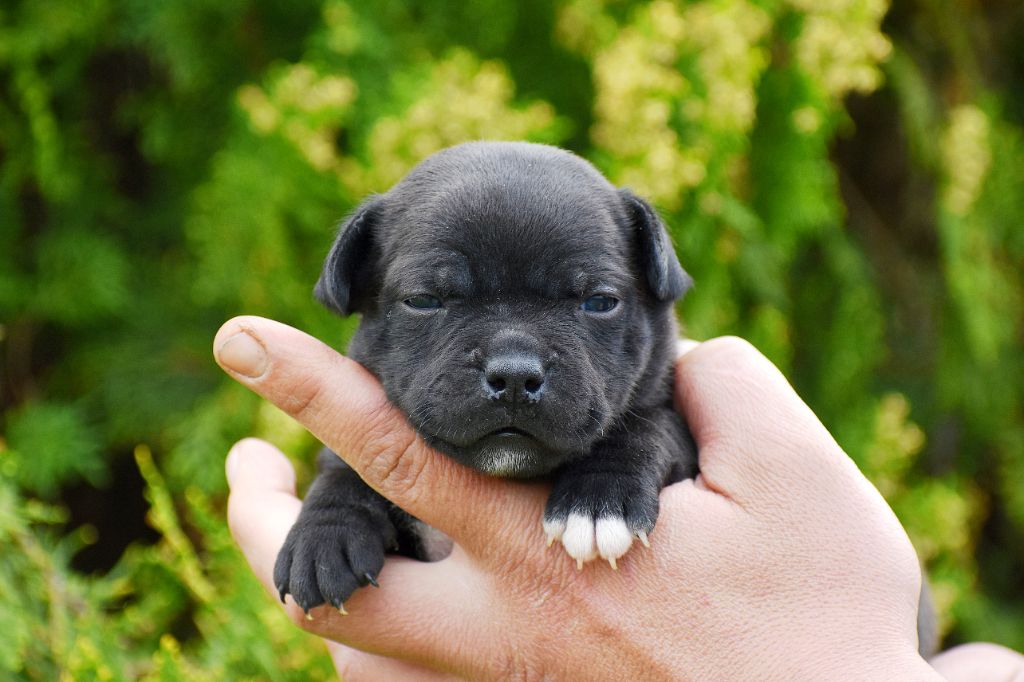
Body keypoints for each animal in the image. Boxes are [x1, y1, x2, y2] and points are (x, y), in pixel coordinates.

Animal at [273, 141, 699, 615]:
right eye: (423, 300)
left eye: (600, 302)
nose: (514, 375)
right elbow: (343, 463)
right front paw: (324, 534)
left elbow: (651, 426)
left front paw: (597, 500)